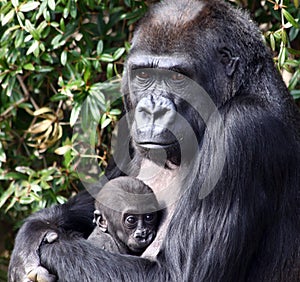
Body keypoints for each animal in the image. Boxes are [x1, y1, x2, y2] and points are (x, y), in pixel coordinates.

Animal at [7, 0, 300, 282]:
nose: (152, 110)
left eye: (177, 77)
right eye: (144, 75)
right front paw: (33, 233)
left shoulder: (239, 130)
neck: (241, 87)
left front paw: (43, 245)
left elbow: (176, 275)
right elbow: (104, 193)